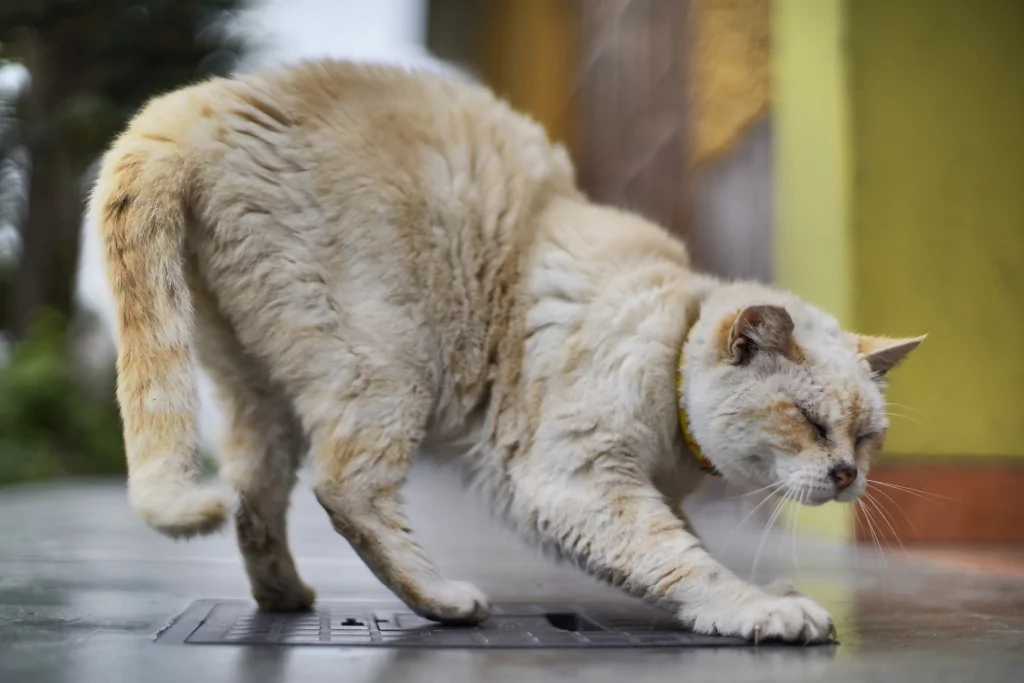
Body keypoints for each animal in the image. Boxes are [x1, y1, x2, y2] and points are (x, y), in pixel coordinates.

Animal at [92, 60, 925, 647]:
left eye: (867, 437)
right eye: (810, 421)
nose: (847, 474)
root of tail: (197, 106)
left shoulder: (637, 487)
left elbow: (686, 544)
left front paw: (768, 597)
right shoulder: (576, 481)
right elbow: (681, 559)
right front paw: (761, 611)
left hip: (258, 390)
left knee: (254, 502)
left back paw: (287, 598)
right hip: (387, 366)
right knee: (347, 490)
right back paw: (446, 602)